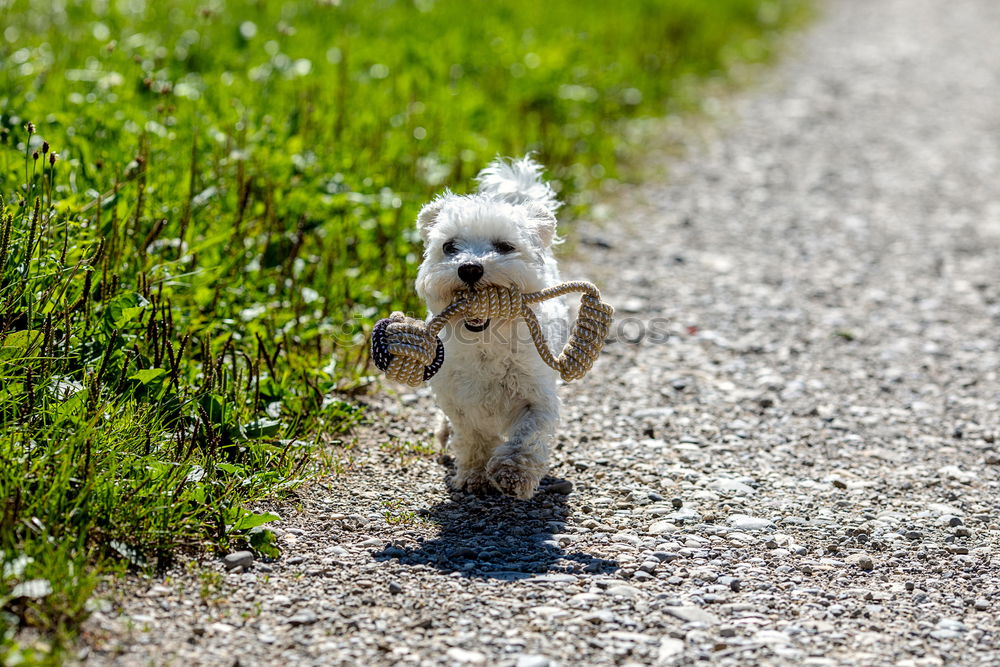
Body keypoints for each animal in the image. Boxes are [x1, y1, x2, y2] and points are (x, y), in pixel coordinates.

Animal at [416, 157, 572, 498]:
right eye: (450, 246)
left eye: (504, 246)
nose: (469, 268)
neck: (486, 341)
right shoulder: (461, 401)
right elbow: (473, 437)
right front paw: (474, 476)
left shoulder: (536, 396)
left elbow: (527, 436)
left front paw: (514, 473)